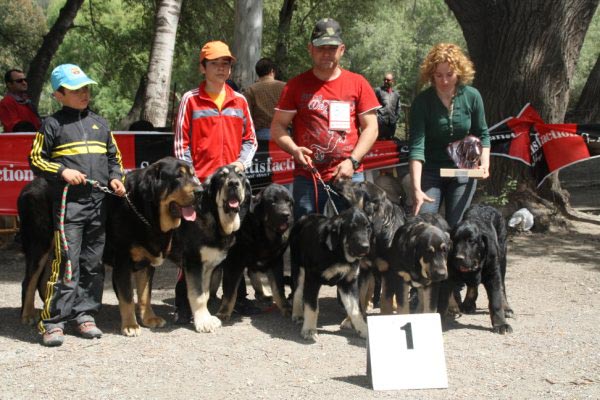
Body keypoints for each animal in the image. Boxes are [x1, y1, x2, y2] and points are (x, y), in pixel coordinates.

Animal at [217, 183, 294, 320]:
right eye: (272, 202)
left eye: (288, 201)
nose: (286, 215)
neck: (263, 234)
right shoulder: (233, 263)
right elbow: (230, 291)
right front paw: (224, 312)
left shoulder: (276, 262)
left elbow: (279, 288)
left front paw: (285, 307)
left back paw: (262, 293)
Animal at [290, 206, 370, 340]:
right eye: (351, 228)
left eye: (368, 228)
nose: (366, 247)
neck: (338, 253)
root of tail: (305, 217)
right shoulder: (312, 279)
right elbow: (312, 307)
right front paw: (309, 330)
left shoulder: (348, 283)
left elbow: (355, 309)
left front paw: (363, 330)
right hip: (299, 267)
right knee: (298, 291)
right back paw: (297, 314)